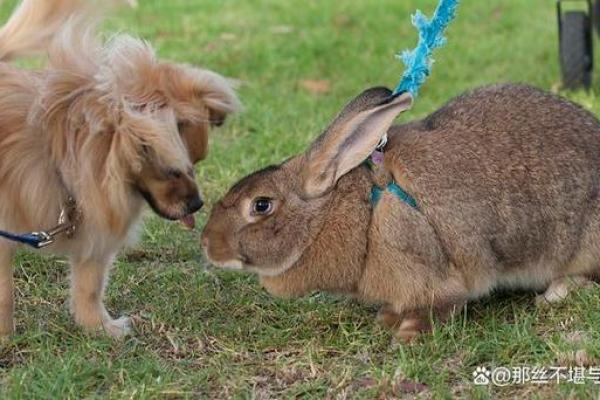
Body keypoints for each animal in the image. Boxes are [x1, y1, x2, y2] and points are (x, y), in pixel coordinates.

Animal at [202, 84, 600, 340]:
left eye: (261, 205)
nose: (207, 244)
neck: (363, 213)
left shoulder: (427, 270)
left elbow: (441, 305)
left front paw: (406, 334)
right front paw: (388, 318)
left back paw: (553, 294)